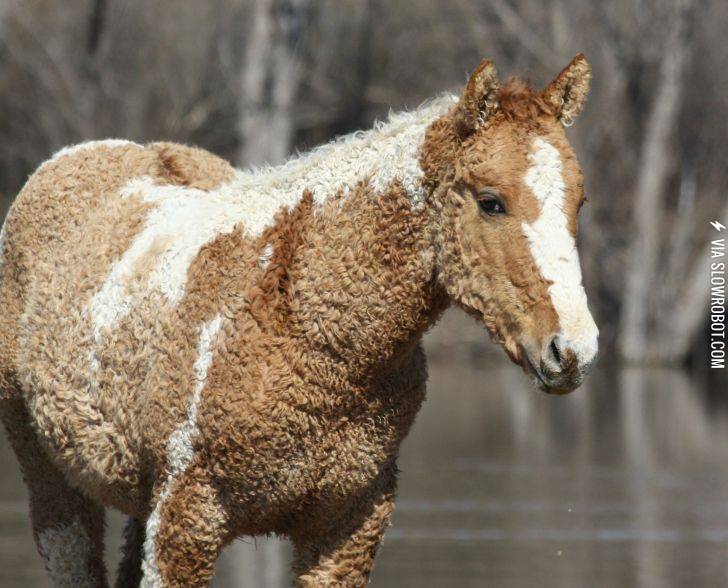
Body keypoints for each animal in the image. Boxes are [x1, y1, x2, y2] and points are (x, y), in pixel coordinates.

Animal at [0, 54, 598, 586]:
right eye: (491, 201)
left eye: (579, 202)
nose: (573, 350)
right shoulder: (185, 521)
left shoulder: (347, 526)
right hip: (53, 484)